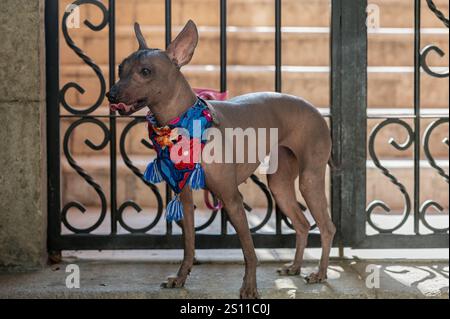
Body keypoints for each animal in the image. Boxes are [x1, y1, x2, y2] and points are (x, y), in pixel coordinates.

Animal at [107, 20, 336, 300]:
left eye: (146, 71)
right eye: (120, 69)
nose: (111, 95)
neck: (183, 124)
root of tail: (315, 109)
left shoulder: (231, 198)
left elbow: (249, 251)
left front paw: (249, 287)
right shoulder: (185, 199)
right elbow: (189, 246)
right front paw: (181, 278)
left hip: (309, 180)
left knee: (327, 227)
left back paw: (320, 273)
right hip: (280, 185)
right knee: (303, 224)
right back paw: (294, 267)